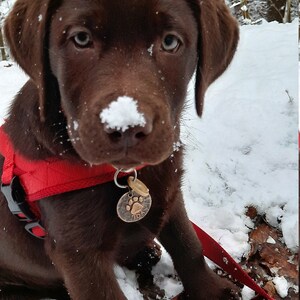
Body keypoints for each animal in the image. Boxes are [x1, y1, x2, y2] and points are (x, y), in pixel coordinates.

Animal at [0, 1, 239, 298]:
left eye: (170, 42)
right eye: (81, 39)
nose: (126, 127)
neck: (124, 174)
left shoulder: (171, 194)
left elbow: (189, 246)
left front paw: (212, 290)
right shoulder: (77, 252)